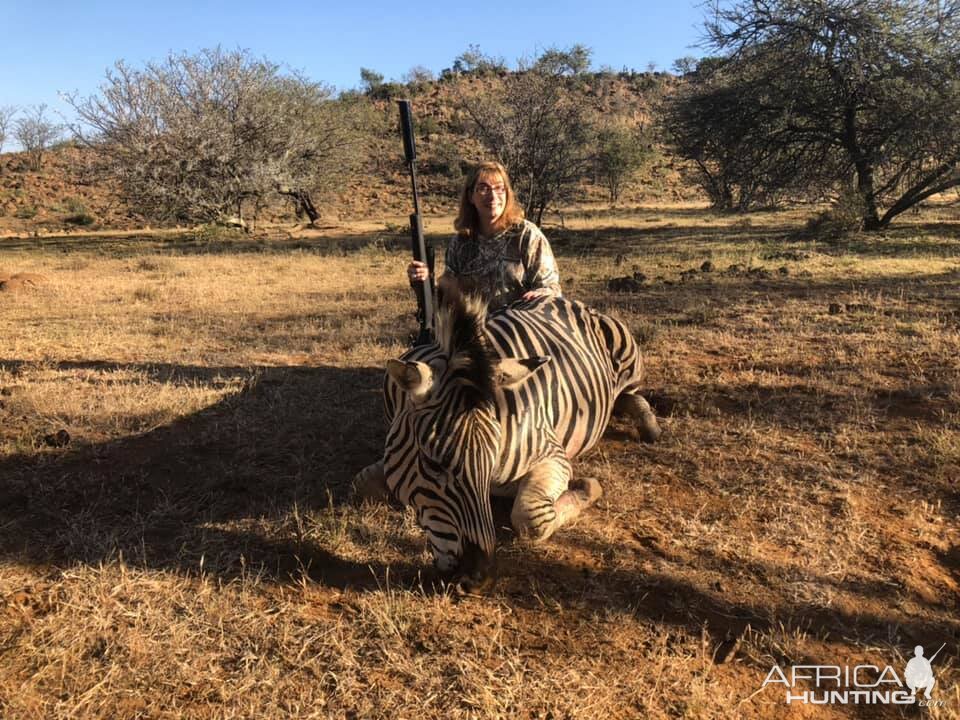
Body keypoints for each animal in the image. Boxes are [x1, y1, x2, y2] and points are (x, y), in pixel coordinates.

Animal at [352, 292, 660, 592]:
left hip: (629, 363)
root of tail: (570, 301)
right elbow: (362, 483)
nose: (478, 579)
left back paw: (650, 427)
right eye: (432, 464)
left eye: (493, 458)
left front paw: (587, 488)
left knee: (632, 395)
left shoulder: (552, 453)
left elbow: (530, 519)